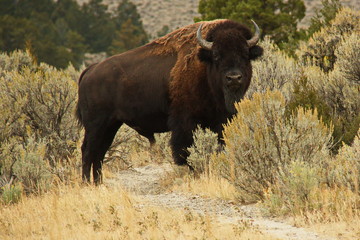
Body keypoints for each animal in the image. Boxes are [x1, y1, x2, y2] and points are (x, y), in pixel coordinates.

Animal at [76, 19, 262, 184]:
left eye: (245, 54)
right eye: (216, 55)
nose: (234, 78)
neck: (203, 66)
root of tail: (90, 70)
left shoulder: (219, 121)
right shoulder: (186, 122)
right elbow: (186, 150)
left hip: (111, 125)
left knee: (99, 152)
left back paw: (98, 183)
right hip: (96, 125)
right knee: (88, 151)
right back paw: (86, 184)